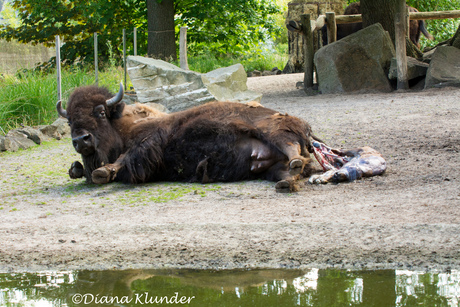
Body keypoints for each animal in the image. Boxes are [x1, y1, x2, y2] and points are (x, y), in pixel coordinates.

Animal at [56, 83, 316, 191]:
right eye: (69, 121)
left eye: (100, 112)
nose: (81, 140)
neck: (121, 125)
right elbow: (79, 169)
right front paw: (78, 169)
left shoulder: (148, 142)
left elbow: (125, 158)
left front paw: (102, 172)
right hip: (270, 169)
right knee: (291, 171)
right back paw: (286, 182)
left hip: (273, 129)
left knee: (292, 148)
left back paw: (294, 163)